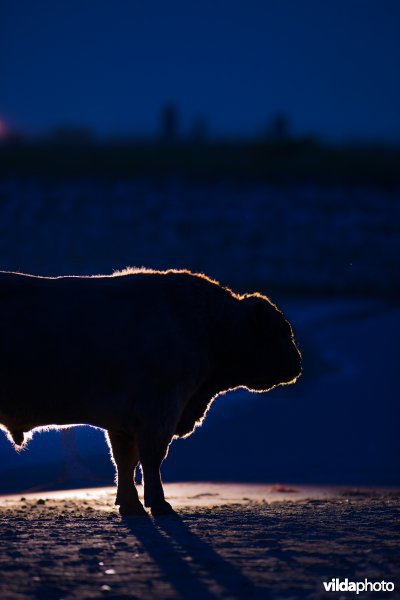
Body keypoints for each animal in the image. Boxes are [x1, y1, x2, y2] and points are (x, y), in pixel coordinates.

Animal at [0, 268, 300, 516]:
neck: (206, 324)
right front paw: (160, 505)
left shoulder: (122, 423)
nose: (297, 362)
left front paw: (130, 504)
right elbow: (150, 459)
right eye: (280, 331)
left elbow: (126, 462)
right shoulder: (159, 412)